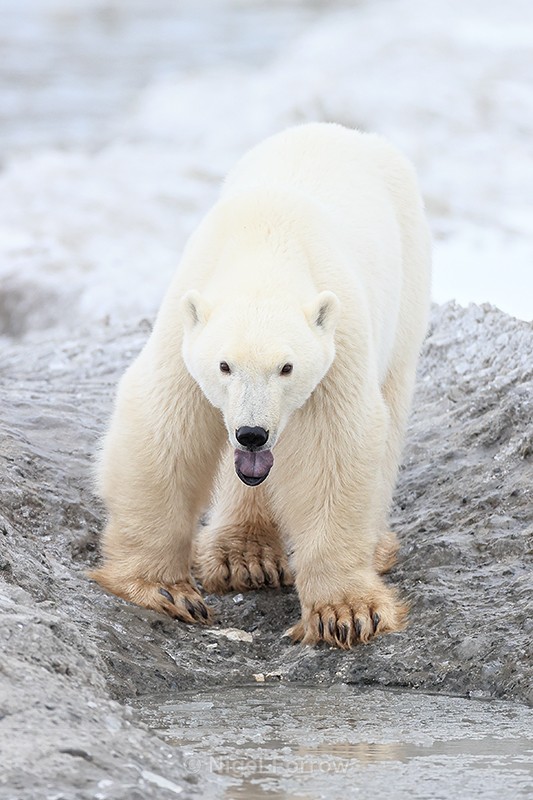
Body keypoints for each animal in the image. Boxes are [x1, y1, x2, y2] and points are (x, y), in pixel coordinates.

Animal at [91, 122, 431, 649]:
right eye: (224, 366)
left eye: (287, 368)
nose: (252, 433)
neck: (267, 244)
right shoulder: (186, 319)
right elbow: (164, 428)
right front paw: (165, 590)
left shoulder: (339, 338)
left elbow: (335, 447)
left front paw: (346, 612)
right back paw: (243, 556)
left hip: (407, 286)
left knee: (390, 412)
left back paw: (367, 546)